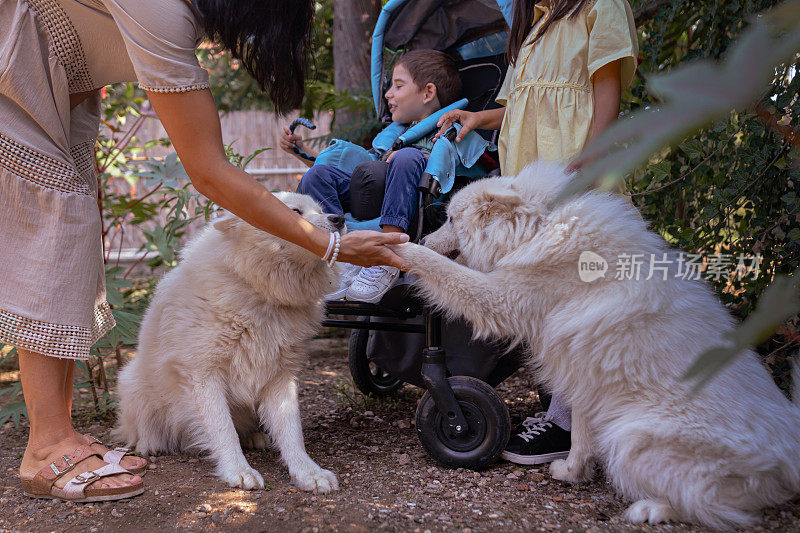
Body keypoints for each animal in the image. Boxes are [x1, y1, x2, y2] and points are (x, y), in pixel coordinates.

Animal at [116, 191, 344, 490]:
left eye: (320, 209)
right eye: (295, 212)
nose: (340, 219)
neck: (260, 293)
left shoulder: (280, 377)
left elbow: (292, 431)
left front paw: (308, 473)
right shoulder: (203, 375)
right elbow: (223, 429)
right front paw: (238, 471)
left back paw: (255, 437)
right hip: (133, 384)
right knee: (139, 428)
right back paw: (147, 444)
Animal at [392, 162, 800, 528]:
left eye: (449, 220)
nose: (424, 237)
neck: (538, 227)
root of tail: (792, 448)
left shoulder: (500, 298)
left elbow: (443, 271)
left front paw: (401, 250)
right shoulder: (586, 371)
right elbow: (582, 434)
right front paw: (574, 473)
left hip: (632, 438)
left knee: (716, 506)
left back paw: (651, 509)